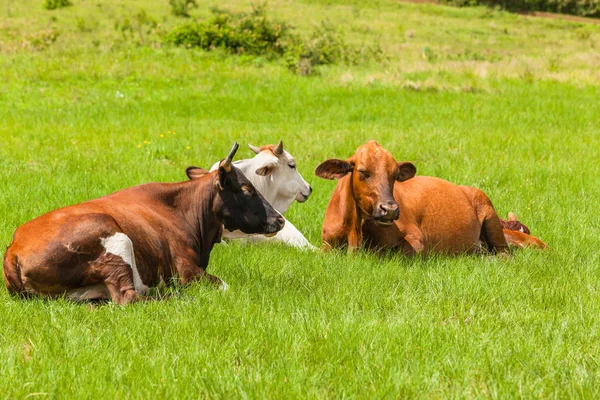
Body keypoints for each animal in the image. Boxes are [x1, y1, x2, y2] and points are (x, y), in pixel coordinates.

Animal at [2, 144, 284, 304]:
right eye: (247, 189)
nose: (279, 219)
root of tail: (14, 248)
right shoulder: (187, 271)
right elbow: (225, 286)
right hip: (115, 244)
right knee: (128, 297)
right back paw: (178, 298)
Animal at [316, 141, 548, 253]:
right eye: (362, 171)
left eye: (395, 175)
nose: (390, 209)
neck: (355, 231)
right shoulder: (325, 246)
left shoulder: (417, 242)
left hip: (491, 216)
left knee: (503, 252)